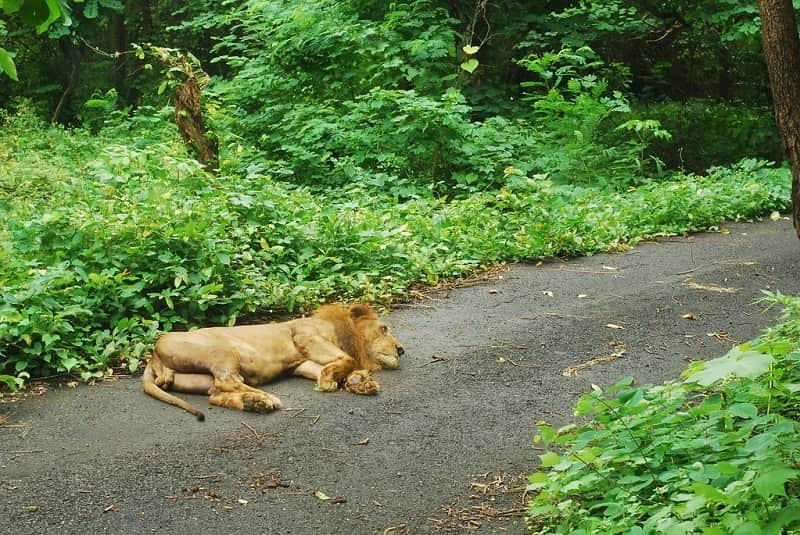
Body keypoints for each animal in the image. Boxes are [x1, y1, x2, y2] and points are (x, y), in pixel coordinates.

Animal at [141, 304, 404, 420]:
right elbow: (347, 360)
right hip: (222, 350)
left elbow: (335, 366)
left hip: (198, 378)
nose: (401, 350)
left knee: (216, 394)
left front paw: (359, 382)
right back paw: (265, 399)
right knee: (227, 381)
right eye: (384, 329)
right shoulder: (305, 336)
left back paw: (252, 403)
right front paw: (334, 381)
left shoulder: (302, 363)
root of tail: (153, 355)